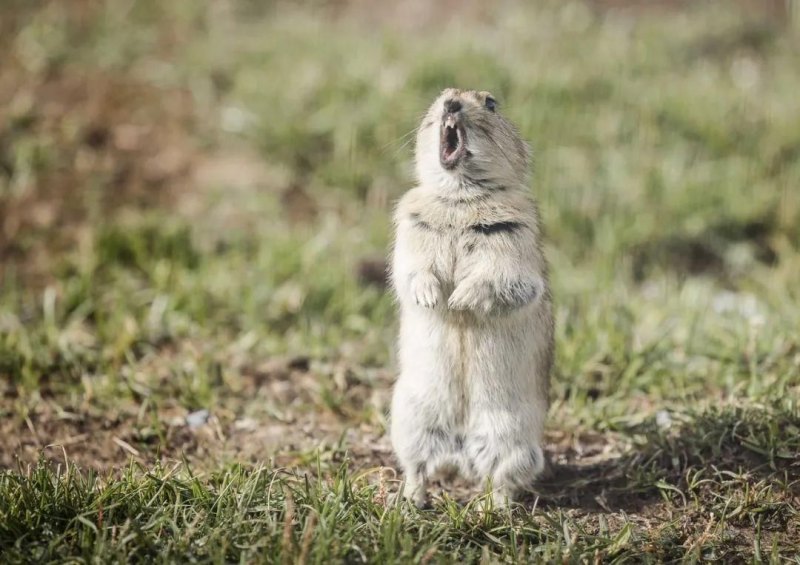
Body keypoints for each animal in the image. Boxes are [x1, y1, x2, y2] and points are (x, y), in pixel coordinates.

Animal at [390, 88, 552, 506]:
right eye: (440, 95)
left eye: (491, 102)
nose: (451, 104)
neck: (460, 197)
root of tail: (459, 450)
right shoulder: (410, 237)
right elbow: (411, 273)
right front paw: (433, 299)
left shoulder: (514, 250)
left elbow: (502, 284)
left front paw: (459, 300)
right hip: (409, 421)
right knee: (417, 467)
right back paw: (413, 501)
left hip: (513, 439)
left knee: (502, 477)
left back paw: (495, 509)